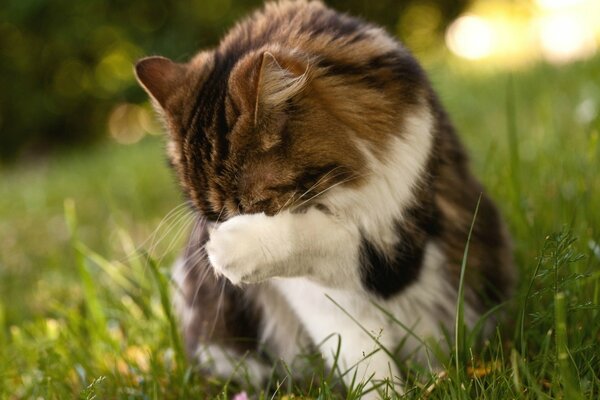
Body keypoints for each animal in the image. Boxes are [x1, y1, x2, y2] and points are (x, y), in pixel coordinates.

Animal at [135, 0, 516, 396]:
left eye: (252, 209)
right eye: (212, 217)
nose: (218, 234)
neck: (336, 193)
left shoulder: (398, 245)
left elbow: (327, 237)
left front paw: (233, 248)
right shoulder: (313, 297)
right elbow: (359, 354)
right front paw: (379, 391)